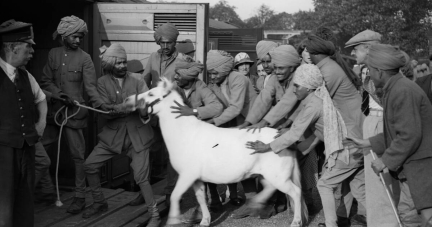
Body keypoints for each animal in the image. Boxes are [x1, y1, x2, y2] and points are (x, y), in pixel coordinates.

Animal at [125, 79, 308, 226]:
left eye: (151, 93)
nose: (127, 100)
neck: (186, 134)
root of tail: (283, 138)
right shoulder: (196, 179)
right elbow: (200, 198)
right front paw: (205, 221)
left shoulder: (186, 176)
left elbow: (175, 196)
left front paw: (172, 220)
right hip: (267, 176)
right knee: (270, 188)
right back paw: (255, 203)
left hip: (278, 177)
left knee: (295, 192)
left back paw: (296, 222)